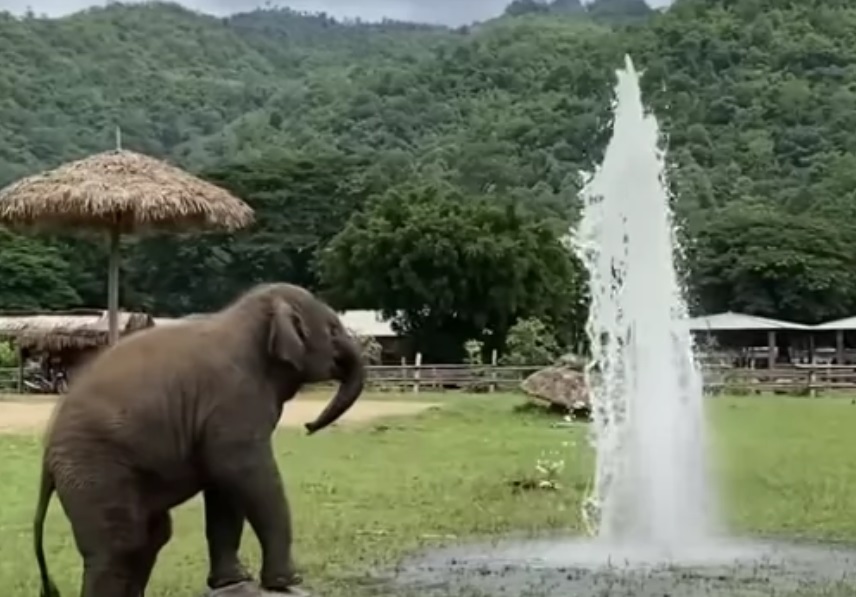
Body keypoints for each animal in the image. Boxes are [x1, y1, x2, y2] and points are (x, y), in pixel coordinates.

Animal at [32, 282, 364, 596]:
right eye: (334, 330)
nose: (309, 426)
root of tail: (46, 459)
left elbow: (224, 487)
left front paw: (233, 581)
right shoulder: (232, 402)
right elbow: (244, 473)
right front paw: (286, 582)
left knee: (151, 536)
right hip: (94, 471)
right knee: (119, 547)